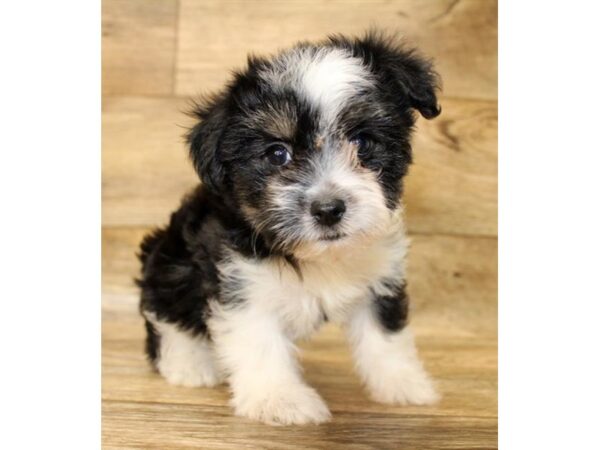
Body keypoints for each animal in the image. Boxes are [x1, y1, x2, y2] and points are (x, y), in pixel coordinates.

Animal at [138, 32, 442, 426]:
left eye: (362, 142)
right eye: (277, 154)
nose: (328, 210)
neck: (318, 256)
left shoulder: (381, 271)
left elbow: (385, 331)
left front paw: (402, 383)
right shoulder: (240, 280)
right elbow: (258, 339)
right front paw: (280, 399)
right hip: (169, 264)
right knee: (166, 313)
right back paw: (189, 364)